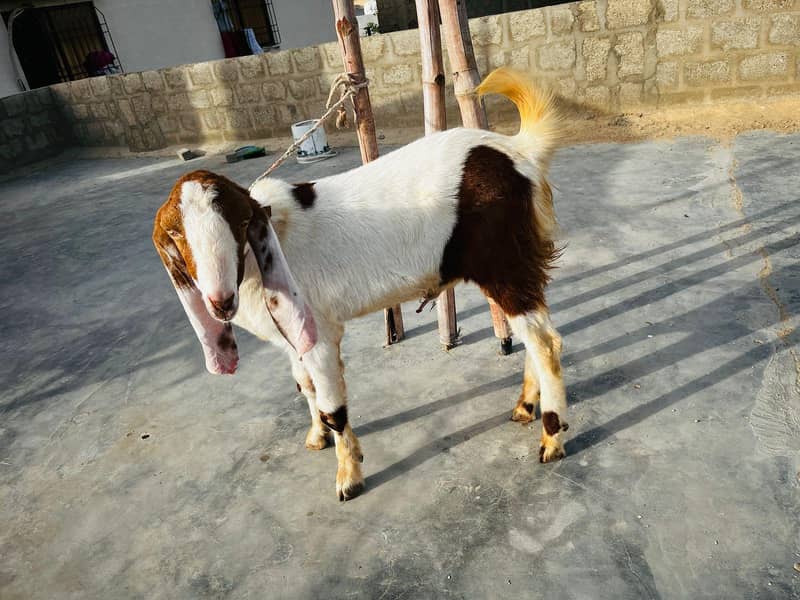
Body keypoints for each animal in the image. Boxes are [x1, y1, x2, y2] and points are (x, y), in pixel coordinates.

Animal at [152, 68, 567, 501]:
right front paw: (317, 436)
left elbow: (333, 407)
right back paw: (524, 408)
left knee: (545, 342)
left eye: (241, 222)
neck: (265, 249)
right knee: (534, 335)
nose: (220, 300)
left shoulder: (318, 331)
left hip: (505, 262)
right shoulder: (292, 336)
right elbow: (306, 386)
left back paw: (552, 439)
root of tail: (519, 151)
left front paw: (348, 477)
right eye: (176, 234)